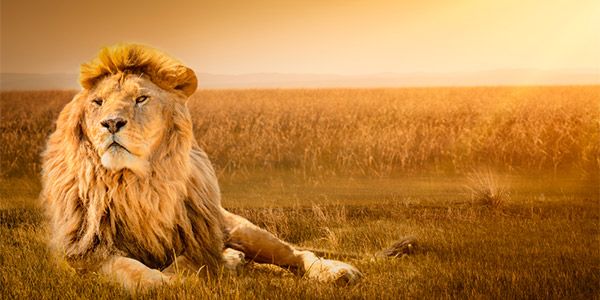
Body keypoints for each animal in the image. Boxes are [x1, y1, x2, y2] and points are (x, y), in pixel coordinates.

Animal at [42, 44, 412, 290]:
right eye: (98, 102)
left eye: (141, 99)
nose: (111, 123)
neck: (137, 184)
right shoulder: (85, 253)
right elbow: (140, 275)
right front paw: (180, 277)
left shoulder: (199, 238)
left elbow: (188, 264)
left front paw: (208, 268)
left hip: (244, 229)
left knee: (297, 254)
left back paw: (335, 271)